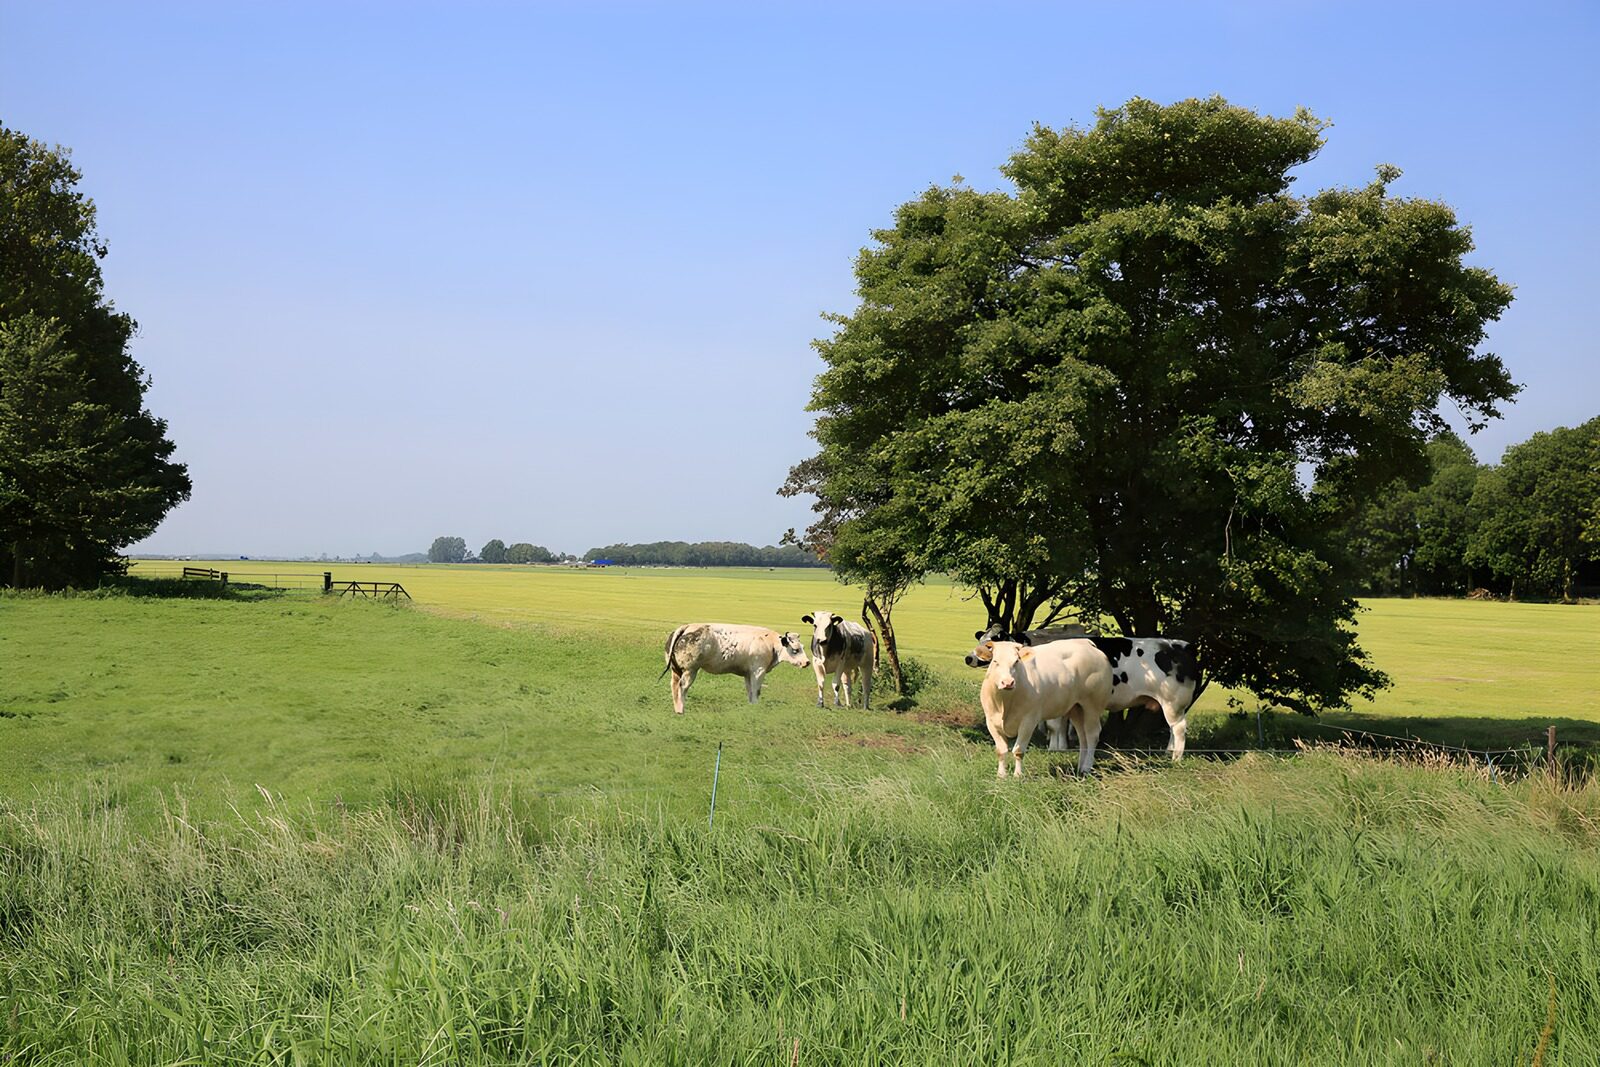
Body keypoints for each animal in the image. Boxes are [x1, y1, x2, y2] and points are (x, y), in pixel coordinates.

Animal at [660, 623, 810, 715]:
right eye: (795, 650)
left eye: (802, 647)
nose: (807, 662)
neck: (770, 643)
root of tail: (687, 627)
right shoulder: (758, 672)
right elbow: (756, 691)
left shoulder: (748, 674)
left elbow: (750, 692)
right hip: (690, 670)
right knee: (682, 688)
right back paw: (681, 710)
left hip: (676, 670)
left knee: (674, 687)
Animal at [966, 630, 1204, 759]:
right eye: (982, 639)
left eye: (993, 641)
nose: (970, 658)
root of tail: (1183, 645)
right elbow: (1060, 725)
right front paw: (1061, 747)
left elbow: (1054, 725)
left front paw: (1055, 748)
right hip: (1172, 705)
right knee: (1174, 728)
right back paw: (1169, 753)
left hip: (1172, 701)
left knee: (1179, 728)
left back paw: (1176, 758)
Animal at [981, 640, 1113, 777]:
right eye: (995, 661)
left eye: (1016, 661)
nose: (1008, 682)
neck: (1005, 702)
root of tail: (1087, 644)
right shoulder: (990, 721)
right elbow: (1001, 750)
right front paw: (1001, 775)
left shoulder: (1029, 721)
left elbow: (1018, 750)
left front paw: (1018, 775)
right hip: (1076, 708)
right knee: (1083, 736)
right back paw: (1080, 767)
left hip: (1093, 706)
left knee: (1092, 734)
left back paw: (1087, 767)